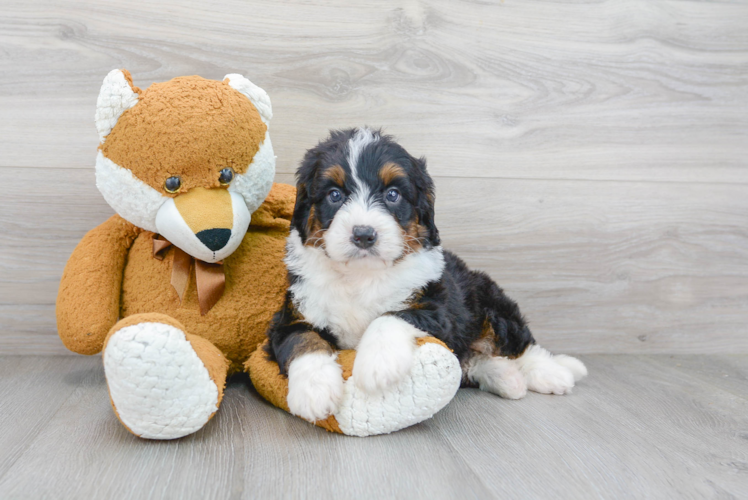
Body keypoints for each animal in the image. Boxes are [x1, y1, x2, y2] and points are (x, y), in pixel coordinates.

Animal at [266, 128, 588, 422]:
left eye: (393, 194)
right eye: (334, 195)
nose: (364, 235)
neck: (361, 276)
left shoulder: (438, 308)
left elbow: (390, 317)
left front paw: (377, 365)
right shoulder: (292, 314)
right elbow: (303, 340)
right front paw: (314, 391)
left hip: (489, 300)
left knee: (519, 345)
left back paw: (555, 372)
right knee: (471, 360)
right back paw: (506, 378)